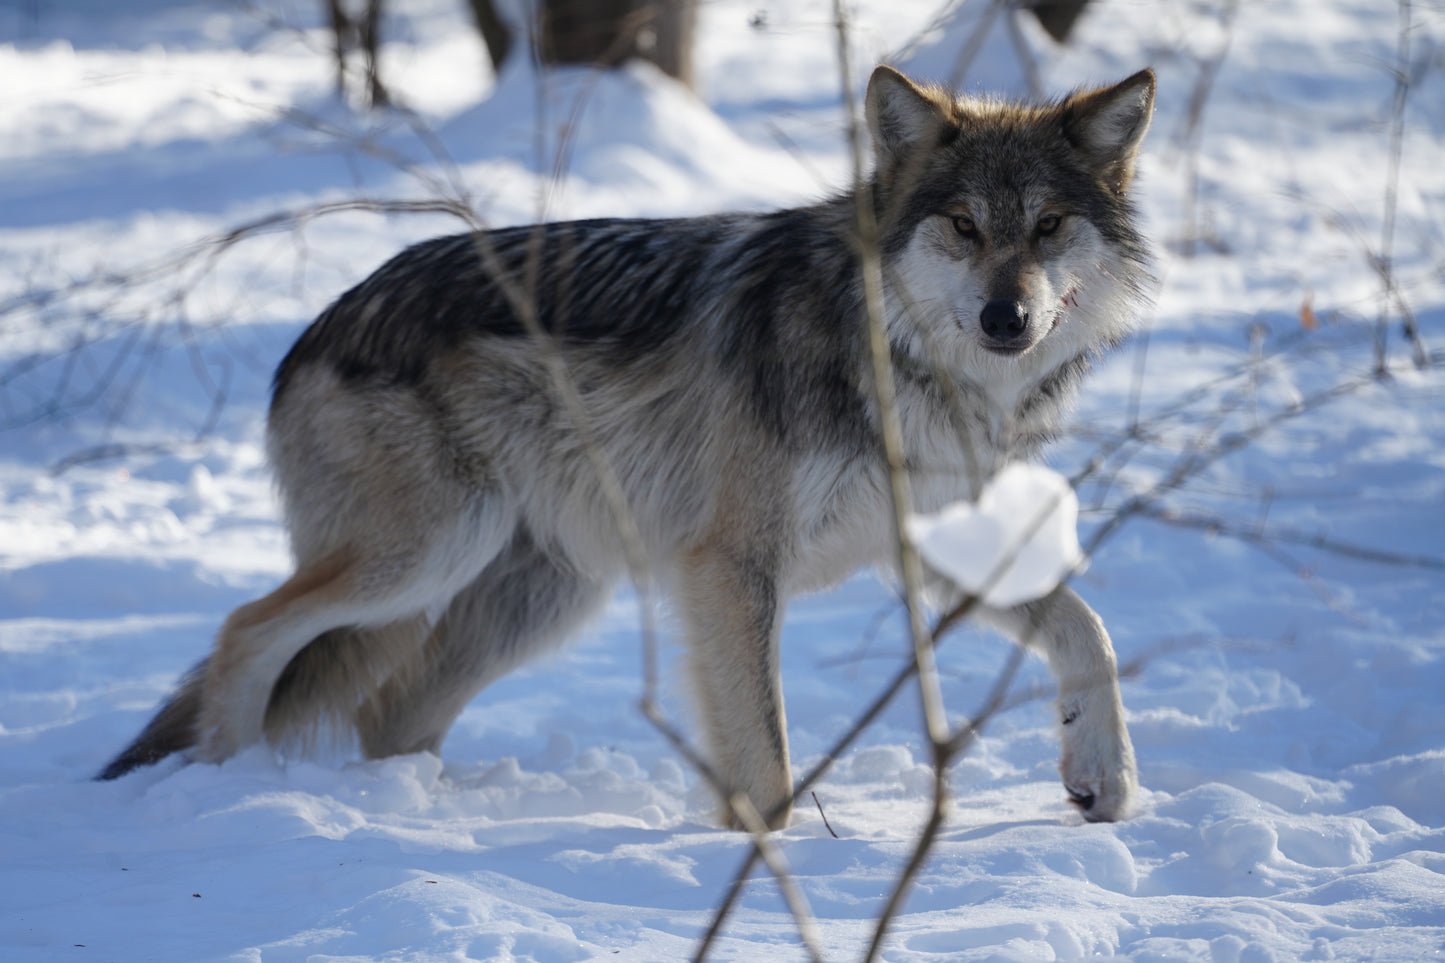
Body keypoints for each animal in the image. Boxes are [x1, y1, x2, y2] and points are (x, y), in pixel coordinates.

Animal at [100, 65, 1155, 827]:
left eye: (1048, 226)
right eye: (963, 225)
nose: (1006, 317)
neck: (899, 361)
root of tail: (317, 326)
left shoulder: (927, 550)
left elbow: (1090, 631)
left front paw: (1103, 777)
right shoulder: (730, 567)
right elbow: (763, 753)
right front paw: (767, 870)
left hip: (536, 596)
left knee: (385, 711)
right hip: (431, 555)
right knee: (247, 628)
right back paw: (224, 784)